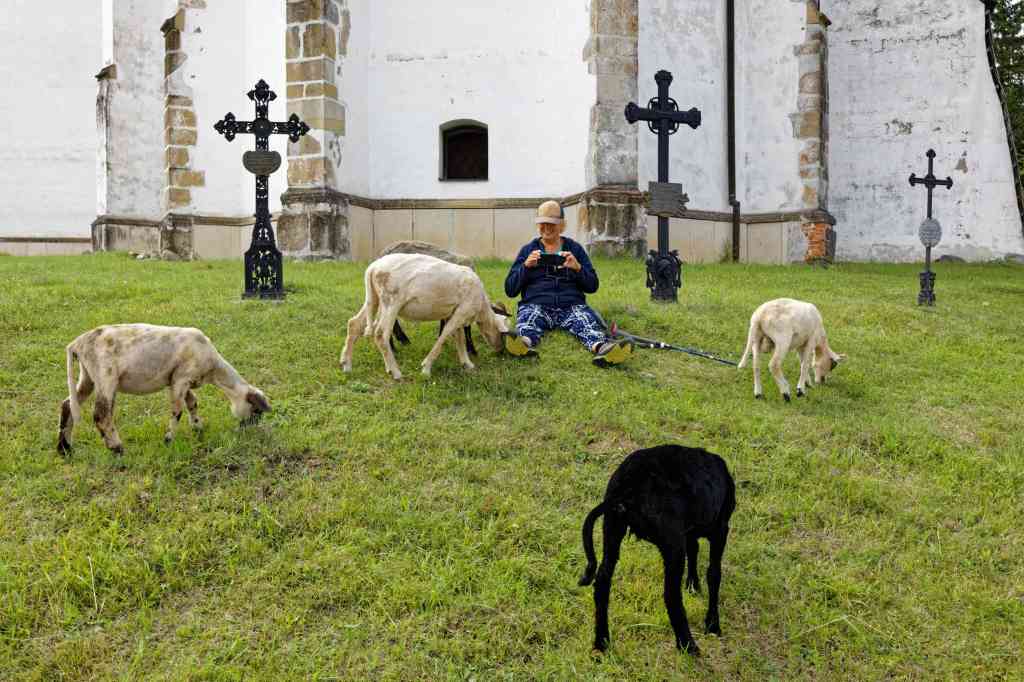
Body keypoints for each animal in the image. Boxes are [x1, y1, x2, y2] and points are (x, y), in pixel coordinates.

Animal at [57, 324, 271, 454]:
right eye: (256, 411)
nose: (247, 429)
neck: (213, 369)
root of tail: (76, 344)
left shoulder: (181, 381)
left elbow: (192, 403)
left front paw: (198, 428)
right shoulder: (181, 378)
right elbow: (177, 410)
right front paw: (168, 440)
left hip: (88, 377)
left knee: (68, 405)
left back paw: (65, 448)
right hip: (105, 376)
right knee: (101, 415)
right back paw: (117, 448)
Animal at [339, 253, 511, 380]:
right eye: (503, 334)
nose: (500, 351)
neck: (482, 307)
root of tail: (372, 268)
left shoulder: (455, 313)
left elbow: (459, 338)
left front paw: (467, 364)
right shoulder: (463, 311)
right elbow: (444, 337)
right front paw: (426, 369)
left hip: (375, 298)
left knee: (354, 324)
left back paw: (347, 365)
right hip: (391, 301)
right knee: (381, 335)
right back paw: (396, 373)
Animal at [579, 444, 736, 656]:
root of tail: (627, 488)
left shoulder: (688, 530)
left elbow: (694, 549)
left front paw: (693, 585)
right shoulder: (720, 528)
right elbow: (713, 574)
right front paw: (712, 624)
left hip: (612, 527)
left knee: (602, 581)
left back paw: (602, 643)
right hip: (671, 541)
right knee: (671, 595)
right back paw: (688, 645)